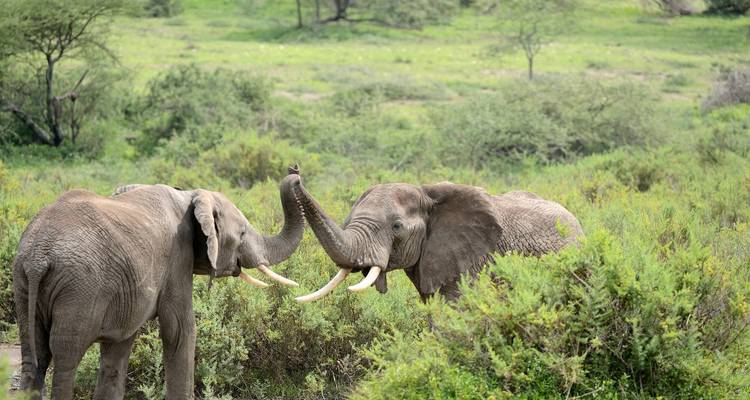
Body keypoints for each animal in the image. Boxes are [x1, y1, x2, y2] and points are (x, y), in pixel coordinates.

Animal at [12, 170, 305, 399]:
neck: (190, 195)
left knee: (34, 357)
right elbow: (179, 330)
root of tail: (39, 255)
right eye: (242, 233)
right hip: (79, 288)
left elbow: (119, 346)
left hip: (24, 282)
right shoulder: (178, 256)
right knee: (65, 358)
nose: (296, 174)